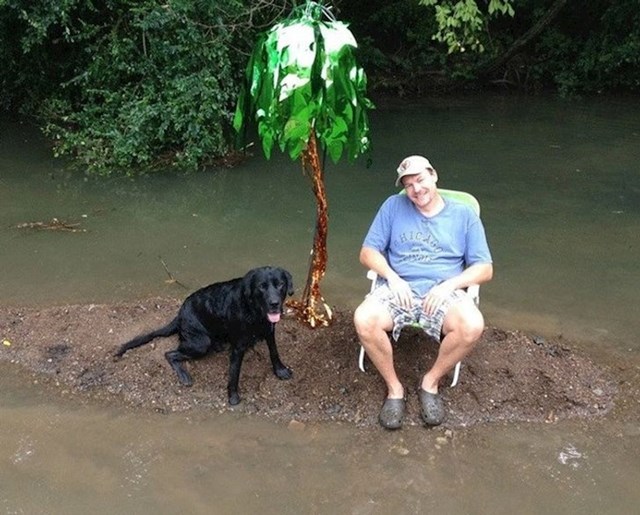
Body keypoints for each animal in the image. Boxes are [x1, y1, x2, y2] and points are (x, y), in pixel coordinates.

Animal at [114, 268, 294, 406]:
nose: (274, 303)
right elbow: (234, 373)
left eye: (280, 284)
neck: (254, 312)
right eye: (261, 287)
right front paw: (233, 397)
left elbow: (274, 352)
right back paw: (184, 375)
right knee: (170, 354)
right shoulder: (238, 347)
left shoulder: (270, 332)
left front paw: (280, 370)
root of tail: (179, 315)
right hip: (201, 343)